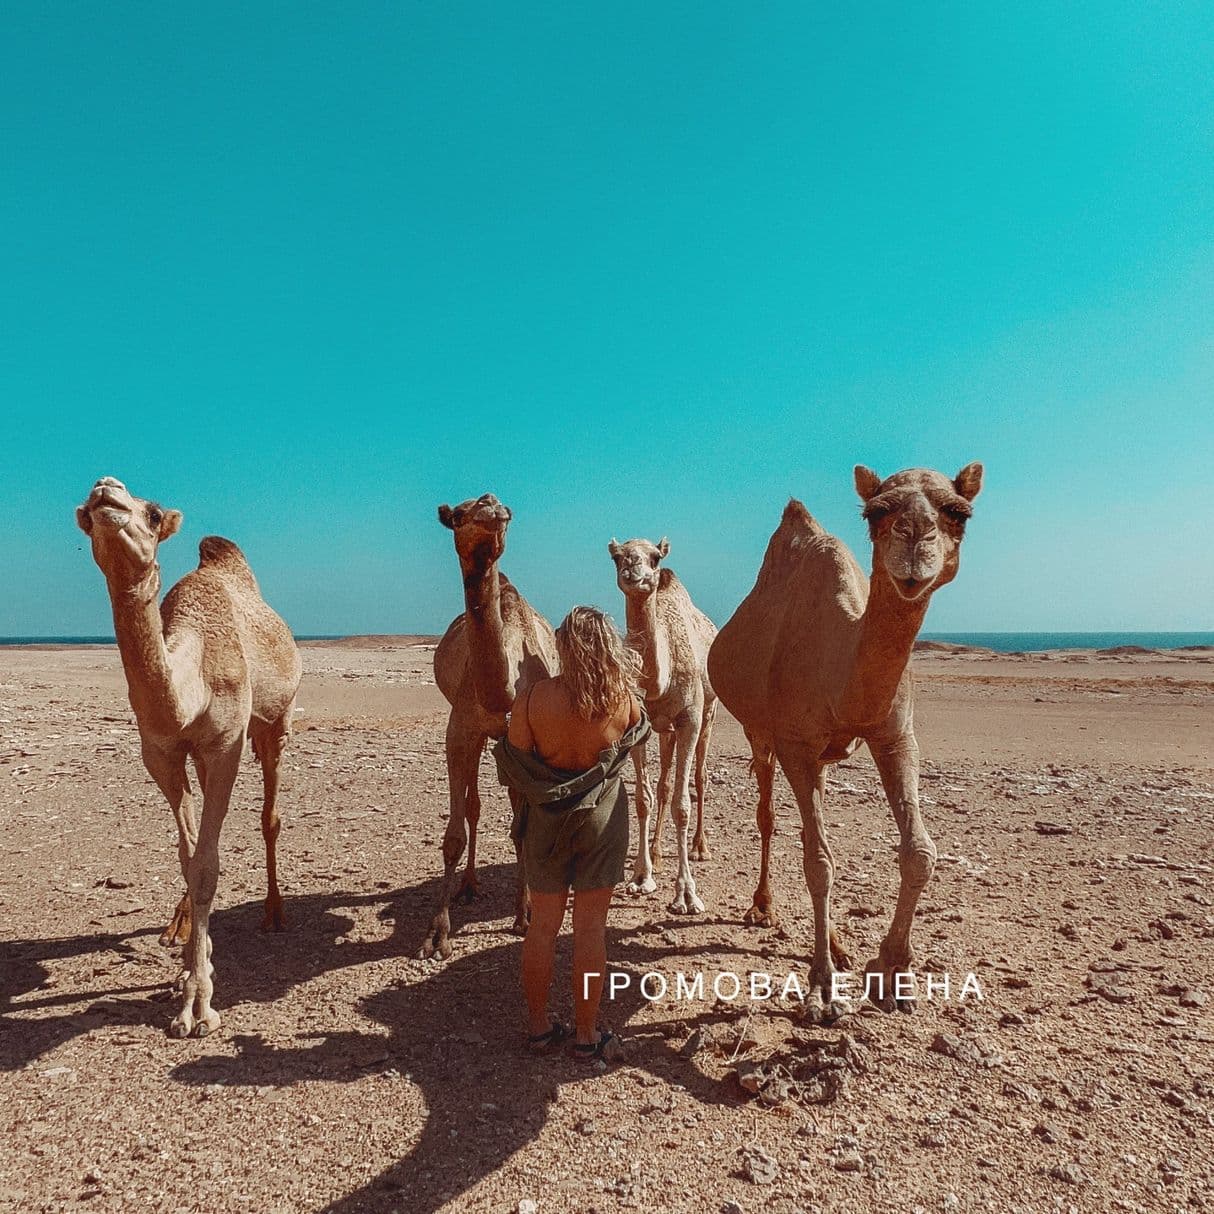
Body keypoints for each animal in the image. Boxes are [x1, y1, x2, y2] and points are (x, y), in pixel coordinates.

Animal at [75, 473, 301, 1034]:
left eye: (153, 513)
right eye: (87, 513)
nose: (105, 489)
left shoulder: (225, 745)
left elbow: (207, 866)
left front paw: (198, 1005)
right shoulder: (161, 754)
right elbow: (189, 854)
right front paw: (192, 966)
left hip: (276, 724)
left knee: (269, 816)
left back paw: (273, 912)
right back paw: (181, 930)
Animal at [422, 492, 558, 956]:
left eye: (498, 504)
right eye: (458, 515)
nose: (491, 506)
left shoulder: (527, 741)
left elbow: (523, 828)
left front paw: (523, 916)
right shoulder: (461, 729)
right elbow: (453, 835)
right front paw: (437, 934)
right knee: (475, 806)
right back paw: (469, 885)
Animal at [611, 536, 713, 912]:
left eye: (655, 558)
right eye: (617, 557)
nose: (633, 572)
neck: (660, 682)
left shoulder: (690, 720)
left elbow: (682, 806)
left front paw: (686, 894)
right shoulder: (637, 726)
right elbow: (644, 798)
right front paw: (641, 876)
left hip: (709, 713)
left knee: (699, 776)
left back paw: (700, 847)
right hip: (665, 730)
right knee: (665, 782)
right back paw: (655, 852)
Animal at [708, 463, 980, 1024]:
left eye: (957, 511)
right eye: (876, 511)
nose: (915, 541)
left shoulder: (895, 735)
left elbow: (920, 851)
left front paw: (892, 973)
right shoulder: (795, 742)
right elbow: (818, 863)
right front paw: (821, 990)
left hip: (823, 759)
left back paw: (837, 943)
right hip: (757, 732)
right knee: (769, 816)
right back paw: (762, 908)